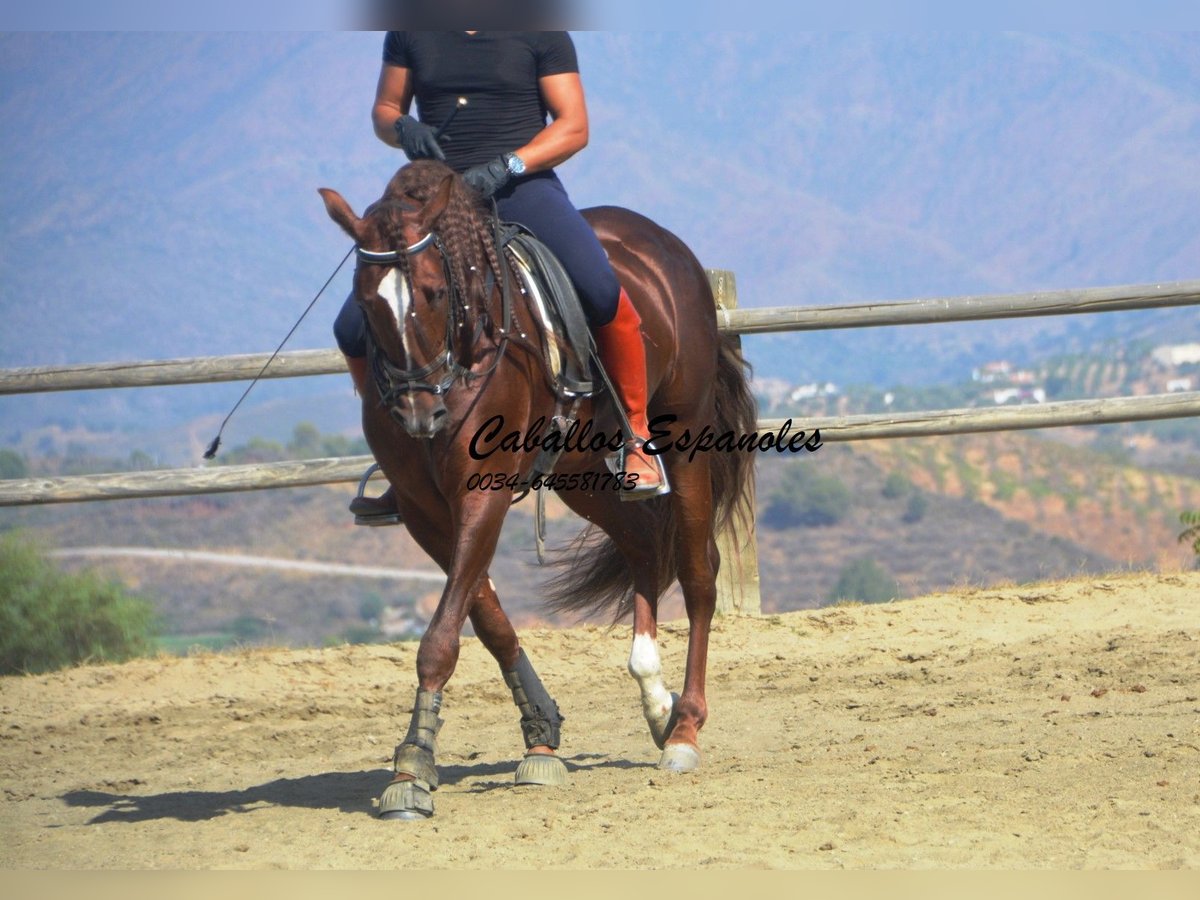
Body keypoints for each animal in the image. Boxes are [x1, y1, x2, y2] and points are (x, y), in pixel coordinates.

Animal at [316, 158, 748, 820]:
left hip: (686, 437)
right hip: (580, 471)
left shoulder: (482, 492)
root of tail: (666, 246)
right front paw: (539, 734)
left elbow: (442, 634)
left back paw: (684, 731)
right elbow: (484, 616)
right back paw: (655, 699)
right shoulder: (421, 510)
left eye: (435, 292)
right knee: (643, 546)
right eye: (366, 303)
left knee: (699, 572)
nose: (419, 414)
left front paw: (412, 769)